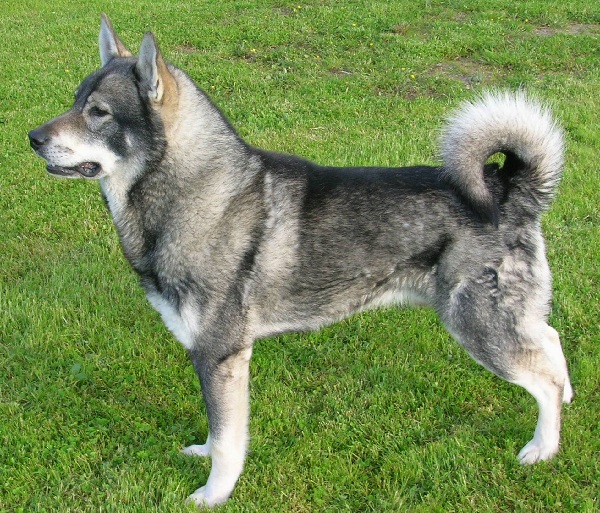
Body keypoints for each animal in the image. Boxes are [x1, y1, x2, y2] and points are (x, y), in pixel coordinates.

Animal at [29, 14, 573, 508]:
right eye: (75, 101)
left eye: (99, 112)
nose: (33, 137)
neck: (197, 193)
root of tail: (510, 187)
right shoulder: (214, 360)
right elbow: (217, 429)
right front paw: (203, 452)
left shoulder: (220, 355)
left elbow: (228, 441)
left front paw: (213, 494)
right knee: (548, 338)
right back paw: (569, 395)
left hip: (477, 326)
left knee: (541, 376)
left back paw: (543, 447)